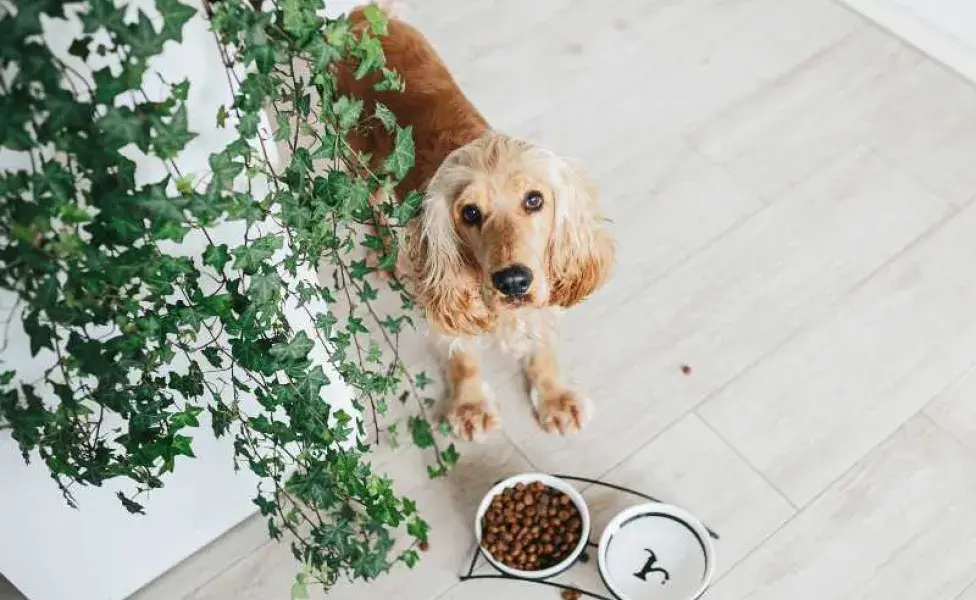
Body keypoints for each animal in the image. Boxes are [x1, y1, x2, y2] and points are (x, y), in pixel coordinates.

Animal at [336, 2, 608, 442]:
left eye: (534, 200)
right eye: (470, 213)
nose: (512, 281)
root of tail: (365, 15)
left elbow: (541, 345)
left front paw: (555, 398)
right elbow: (461, 355)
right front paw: (470, 407)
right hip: (357, 157)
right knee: (372, 202)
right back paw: (383, 254)